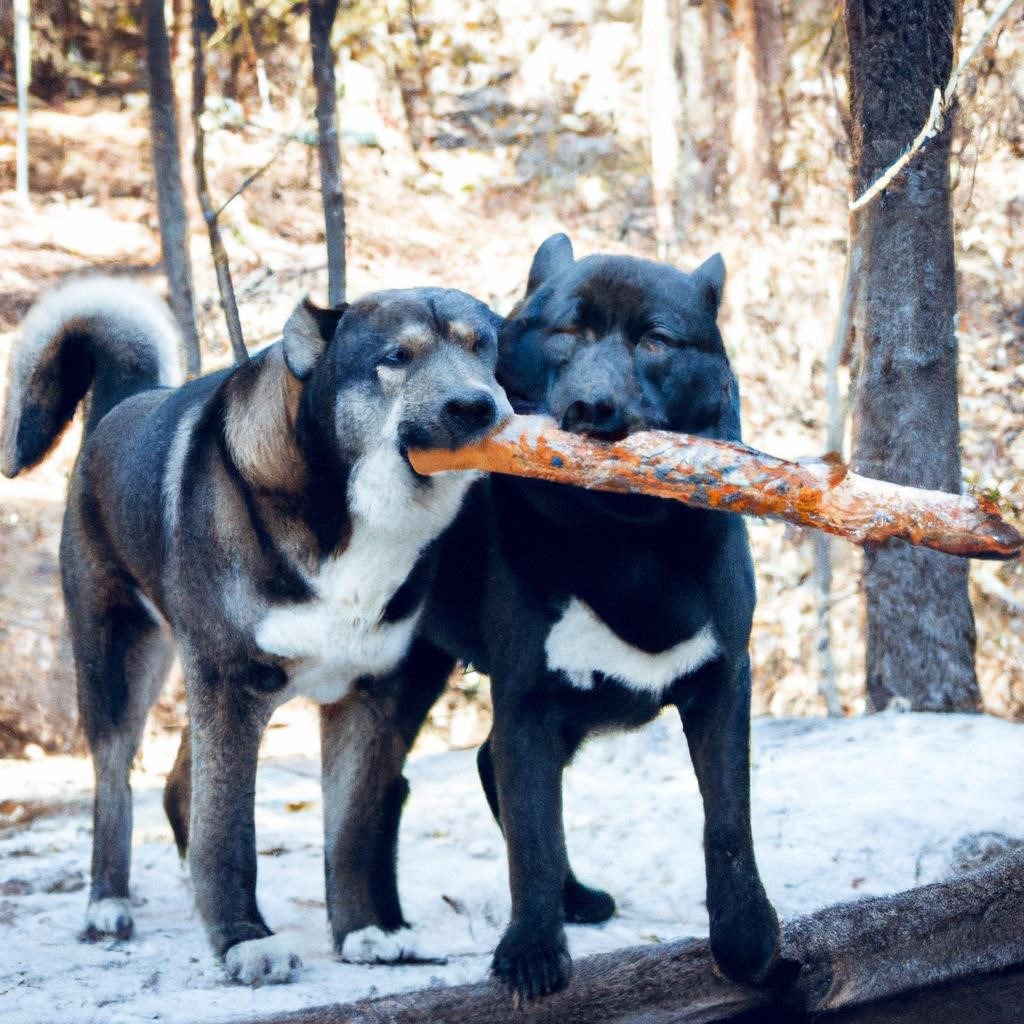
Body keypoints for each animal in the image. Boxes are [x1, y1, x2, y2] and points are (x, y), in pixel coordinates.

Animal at [380, 234, 778, 999]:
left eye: (656, 340)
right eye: (567, 332)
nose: (594, 406)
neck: (625, 543)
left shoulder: (723, 681)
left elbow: (729, 820)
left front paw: (748, 941)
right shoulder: (529, 697)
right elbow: (535, 834)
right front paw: (531, 956)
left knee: (488, 765)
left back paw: (578, 899)